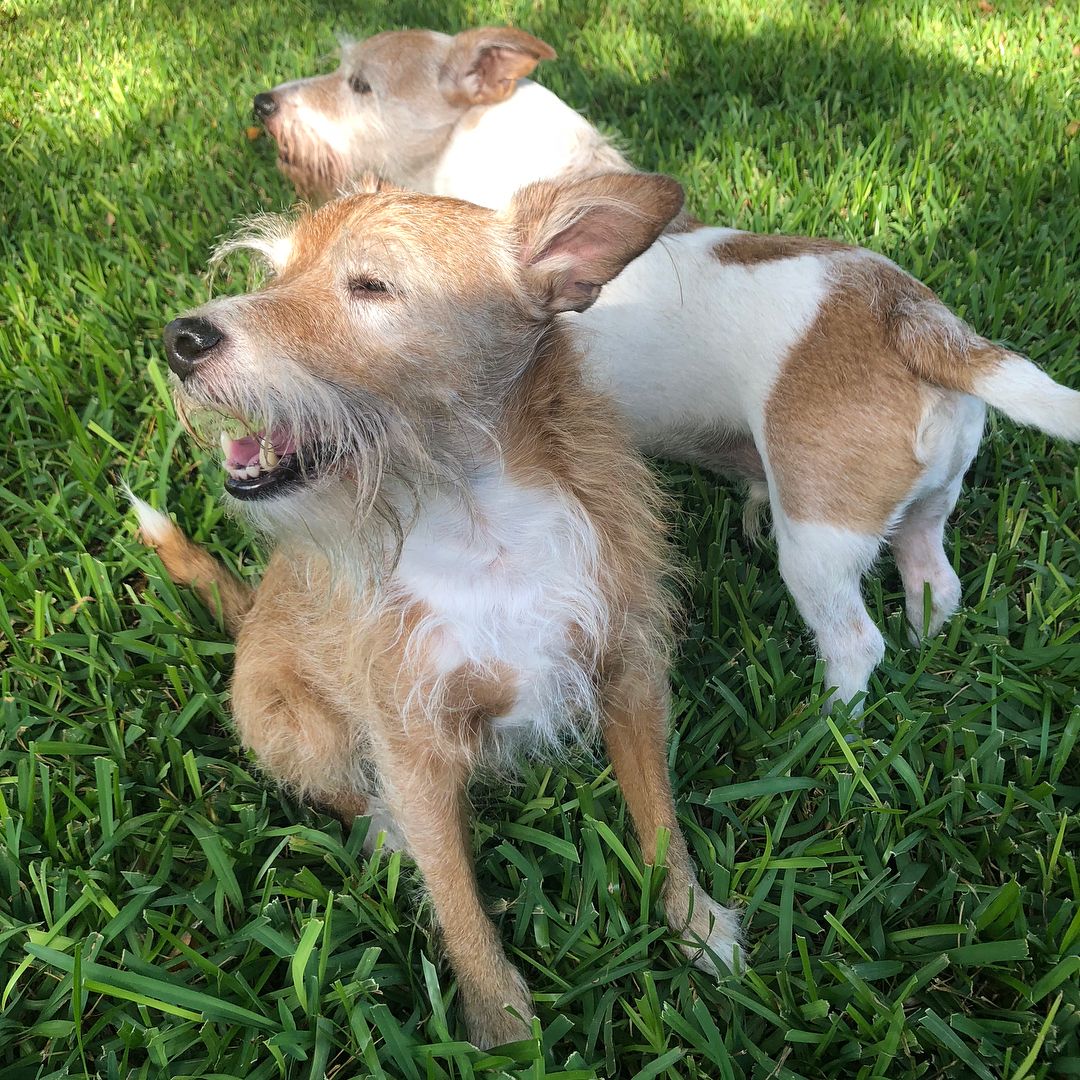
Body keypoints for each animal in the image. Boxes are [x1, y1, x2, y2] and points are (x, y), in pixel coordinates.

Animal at [130, 174, 743, 1045]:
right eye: (278, 273)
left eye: (371, 286)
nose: (183, 337)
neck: (480, 522)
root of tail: (246, 621)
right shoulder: (411, 745)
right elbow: (455, 897)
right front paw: (503, 1022)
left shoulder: (630, 673)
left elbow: (660, 821)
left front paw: (696, 925)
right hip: (300, 727)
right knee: (343, 791)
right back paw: (385, 833)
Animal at [254, 25, 1080, 708]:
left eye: (359, 83)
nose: (264, 103)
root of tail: (916, 320)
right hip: (929, 505)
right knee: (934, 582)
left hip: (816, 541)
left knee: (854, 642)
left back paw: (825, 723)